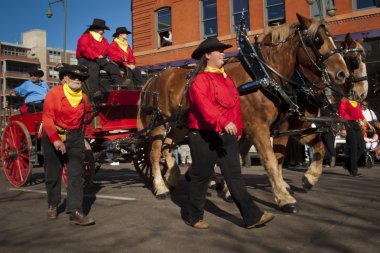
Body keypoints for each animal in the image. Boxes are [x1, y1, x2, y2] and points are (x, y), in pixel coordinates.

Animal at [135, 12, 348, 212]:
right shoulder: (258, 127)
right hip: (159, 122)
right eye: (318, 40)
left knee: (168, 146)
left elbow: (318, 147)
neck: (261, 74)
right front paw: (284, 198)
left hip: (180, 123)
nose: (343, 74)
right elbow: (271, 160)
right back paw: (161, 187)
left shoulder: (285, 127)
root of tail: (153, 78)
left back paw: (173, 178)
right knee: (154, 153)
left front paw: (308, 178)